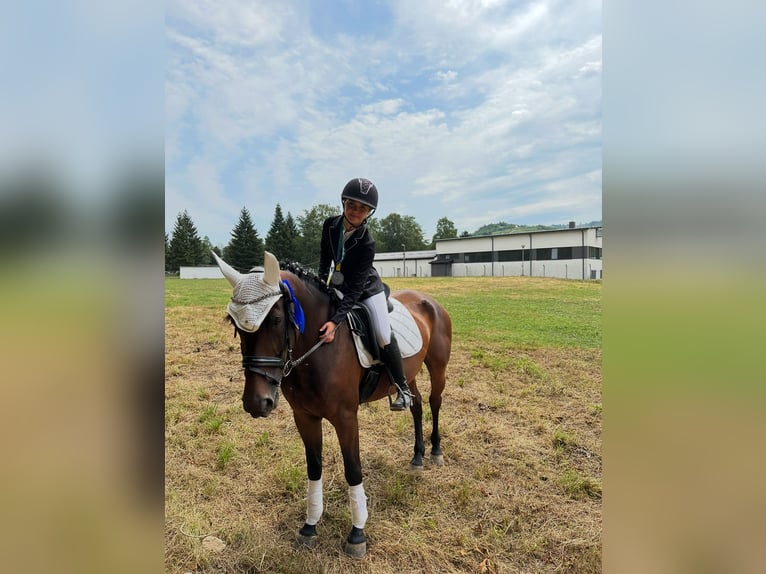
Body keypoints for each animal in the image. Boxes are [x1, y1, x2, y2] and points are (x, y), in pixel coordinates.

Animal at [213, 251, 452, 558]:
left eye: (276, 319)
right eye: (234, 324)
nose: (257, 402)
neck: (318, 349)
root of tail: (427, 300)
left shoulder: (346, 418)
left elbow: (353, 469)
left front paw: (357, 534)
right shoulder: (304, 416)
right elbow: (314, 468)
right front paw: (310, 526)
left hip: (437, 366)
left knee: (434, 402)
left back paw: (435, 451)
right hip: (408, 376)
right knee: (417, 405)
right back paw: (418, 456)